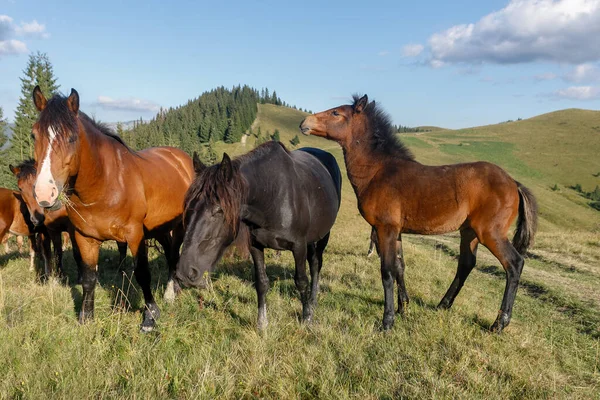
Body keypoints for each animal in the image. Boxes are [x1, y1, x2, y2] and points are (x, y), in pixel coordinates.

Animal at [30, 86, 195, 332]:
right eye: (34, 135)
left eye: (71, 137)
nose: (43, 193)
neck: (106, 184)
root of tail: (182, 159)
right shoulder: (85, 238)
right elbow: (89, 277)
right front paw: (86, 317)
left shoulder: (135, 235)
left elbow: (142, 273)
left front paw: (150, 317)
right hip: (159, 228)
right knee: (168, 252)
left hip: (180, 225)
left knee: (174, 255)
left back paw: (170, 294)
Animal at [300, 95, 540, 332]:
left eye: (336, 113)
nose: (304, 123)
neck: (378, 171)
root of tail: (514, 183)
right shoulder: (396, 231)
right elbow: (400, 267)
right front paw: (403, 308)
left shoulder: (385, 228)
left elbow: (387, 271)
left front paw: (387, 322)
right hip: (469, 232)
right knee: (466, 264)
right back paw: (443, 305)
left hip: (490, 232)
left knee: (514, 264)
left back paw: (499, 323)